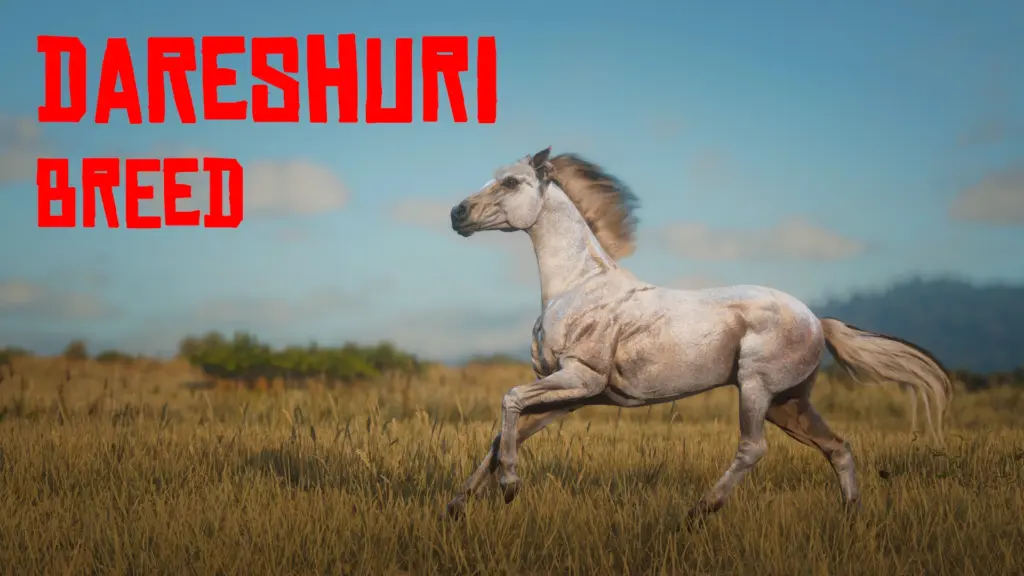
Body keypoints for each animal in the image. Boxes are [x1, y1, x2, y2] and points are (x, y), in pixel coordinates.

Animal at [445, 147, 953, 526]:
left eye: (511, 183)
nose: (457, 213)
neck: (577, 286)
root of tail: (816, 320)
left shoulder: (581, 379)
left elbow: (509, 400)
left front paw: (510, 487)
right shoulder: (571, 395)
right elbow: (501, 435)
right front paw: (458, 504)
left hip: (756, 388)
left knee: (753, 448)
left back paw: (699, 510)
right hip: (788, 402)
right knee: (839, 448)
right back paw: (852, 518)